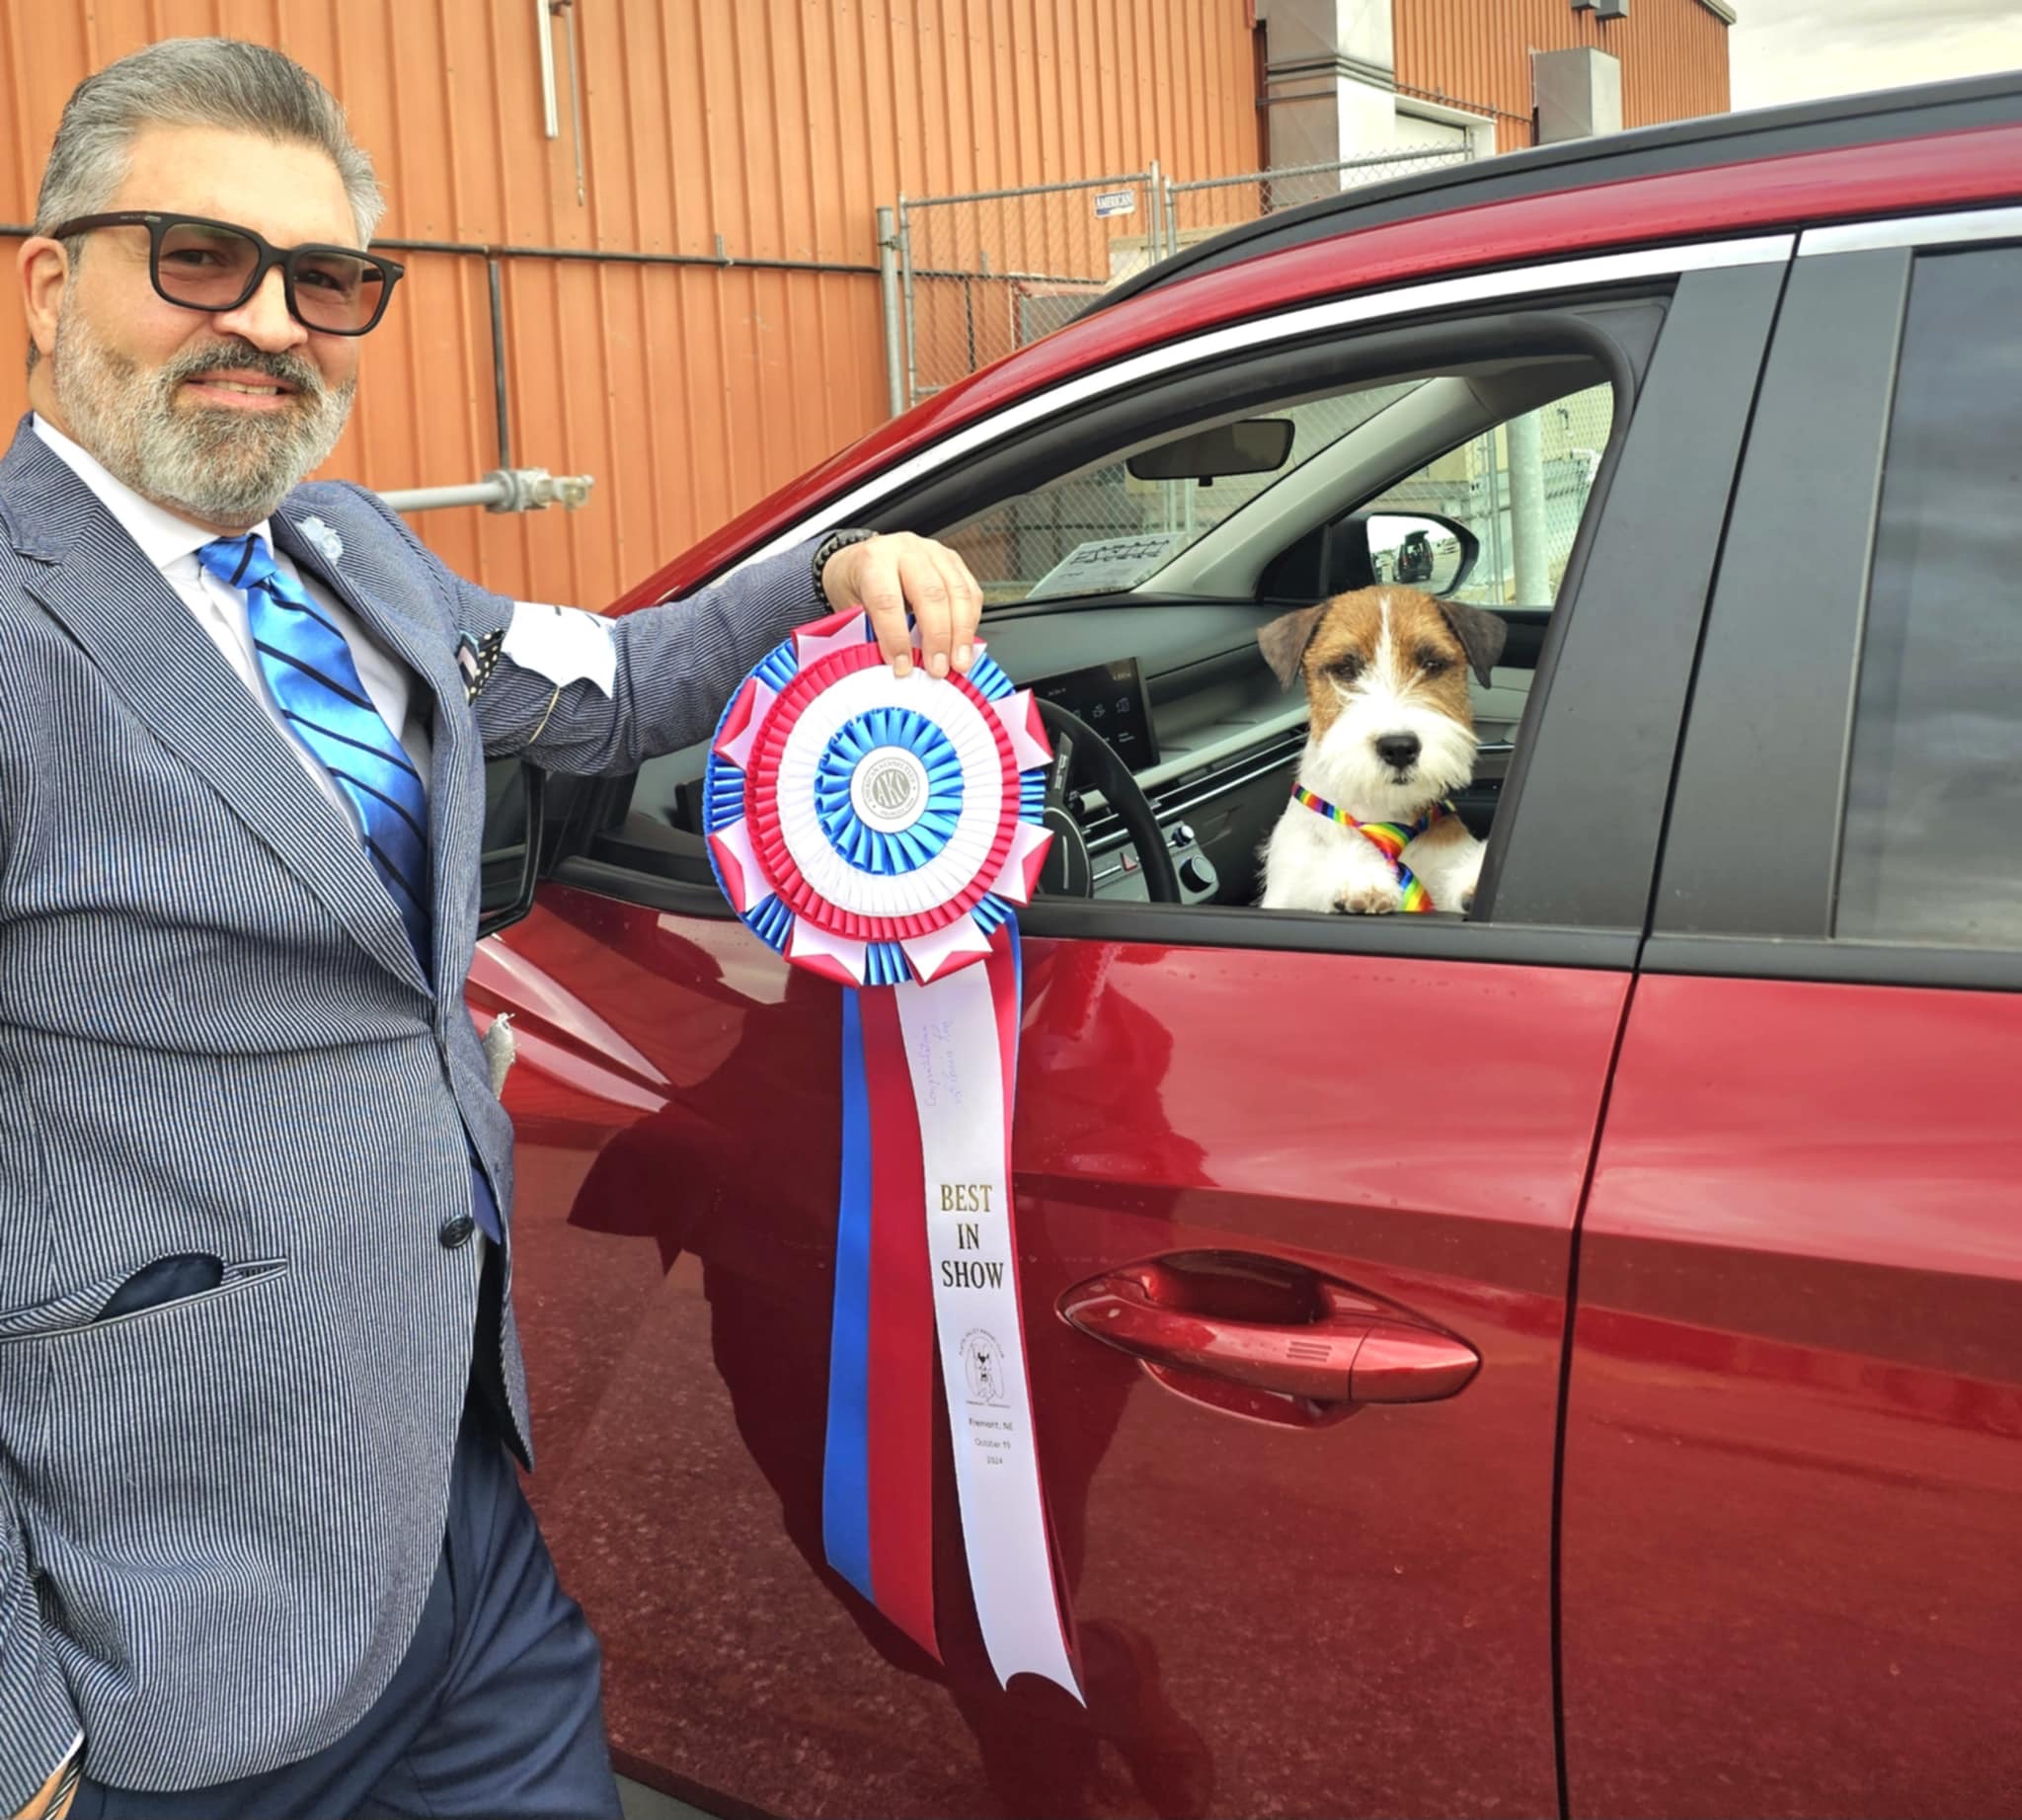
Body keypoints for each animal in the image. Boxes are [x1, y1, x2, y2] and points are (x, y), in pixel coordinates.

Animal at [1256, 586, 1506, 916]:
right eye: (1345, 669)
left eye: (1432, 664)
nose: (1399, 748)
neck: (1382, 812)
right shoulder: (1285, 893)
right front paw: (1358, 879)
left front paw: (1471, 877)